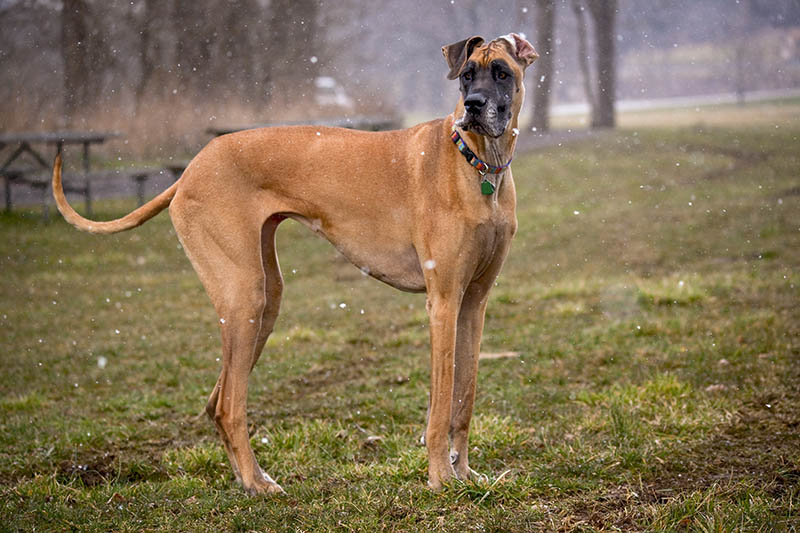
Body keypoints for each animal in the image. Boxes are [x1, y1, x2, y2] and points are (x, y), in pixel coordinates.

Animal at [51, 33, 536, 492]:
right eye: (466, 76)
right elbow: (440, 407)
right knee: (229, 405)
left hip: (267, 300)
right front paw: (440, 479)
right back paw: (256, 483)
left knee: (217, 401)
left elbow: (464, 399)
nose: (473, 107)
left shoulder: (473, 303)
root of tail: (190, 169)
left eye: (501, 73)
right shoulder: (443, 302)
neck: (479, 165)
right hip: (244, 296)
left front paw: (465, 473)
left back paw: (251, 479)